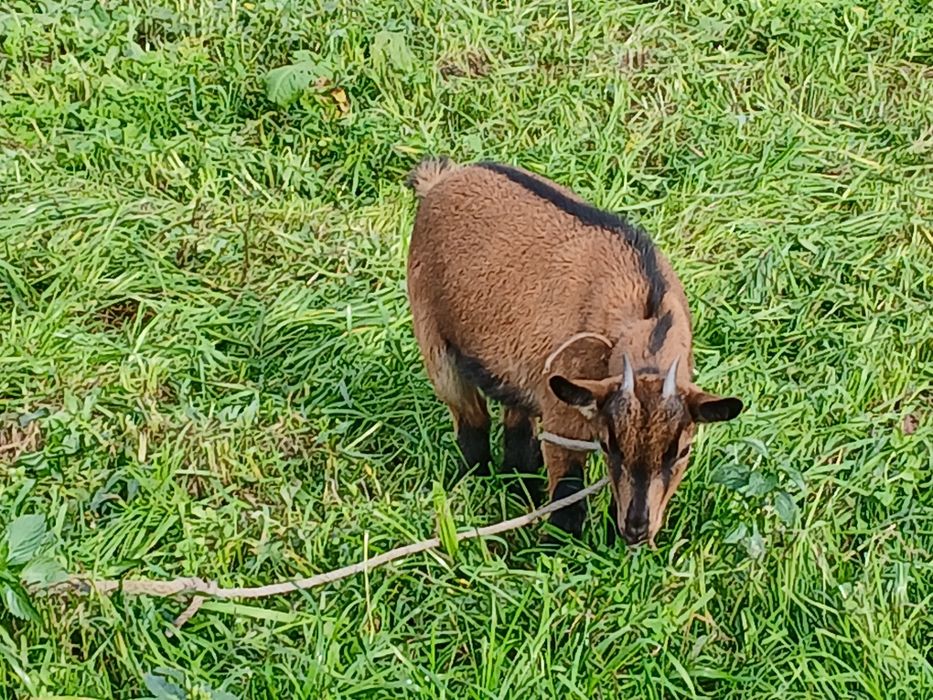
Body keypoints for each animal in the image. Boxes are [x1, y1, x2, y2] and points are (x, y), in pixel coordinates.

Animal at [404, 157, 743, 545]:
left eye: (682, 450)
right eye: (609, 445)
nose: (637, 529)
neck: (644, 313)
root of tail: (444, 179)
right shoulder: (565, 412)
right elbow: (567, 487)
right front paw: (559, 545)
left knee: (516, 426)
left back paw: (519, 485)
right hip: (436, 345)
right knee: (471, 420)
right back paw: (476, 481)